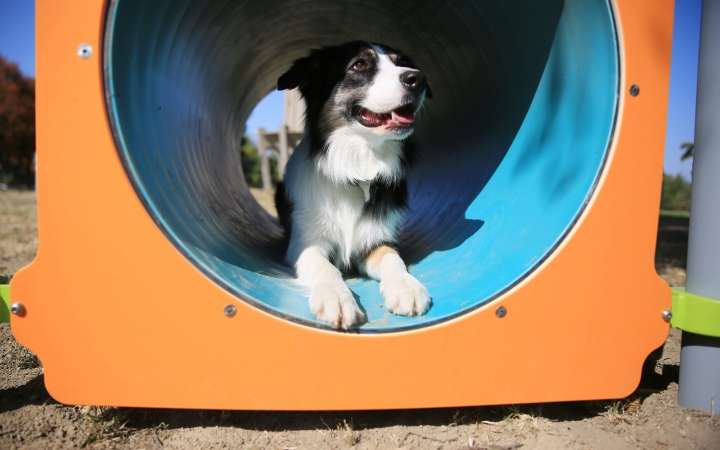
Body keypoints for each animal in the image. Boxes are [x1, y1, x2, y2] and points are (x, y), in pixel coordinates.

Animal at [276, 41, 434, 330]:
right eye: (359, 64)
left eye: (400, 63)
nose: (418, 79)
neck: (357, 165)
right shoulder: (304, 244)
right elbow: (326, 266)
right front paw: (336, 298)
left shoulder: (374, 240)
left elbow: (392, 257)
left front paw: (406, 287)